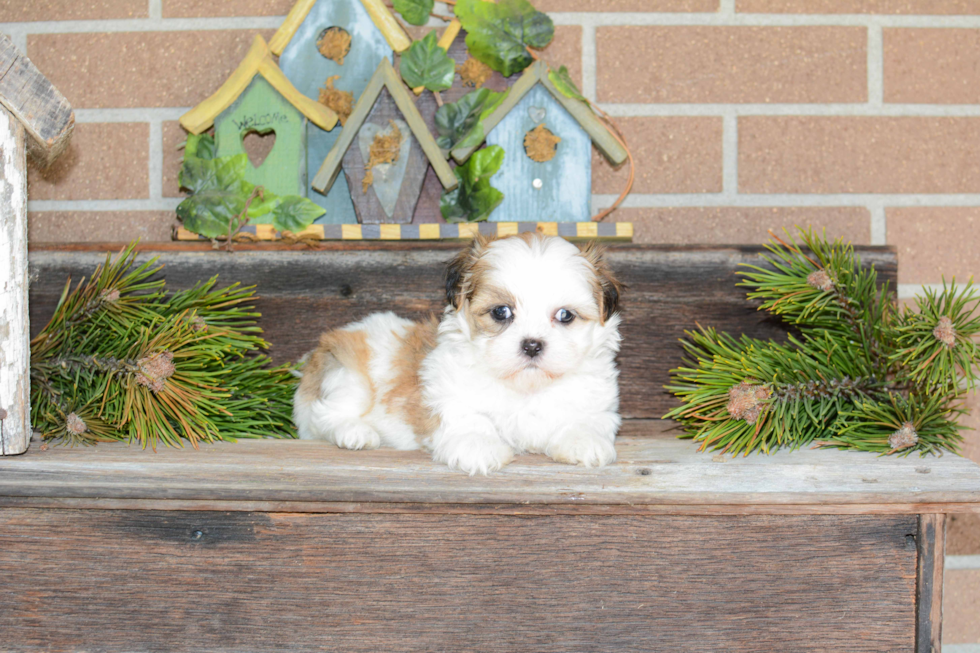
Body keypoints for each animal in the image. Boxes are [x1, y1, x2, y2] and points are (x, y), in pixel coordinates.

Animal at [294, 234, 624, 474]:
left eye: (565, 315)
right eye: (501, 312)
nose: (532, 344)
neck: (525, 387)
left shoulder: (598, 400)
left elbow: (589, 419)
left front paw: (584, 441)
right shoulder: (447, 391)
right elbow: (468, 416)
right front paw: (478, 445)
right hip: (347, 373)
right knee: (324, 414)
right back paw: (354, 432)